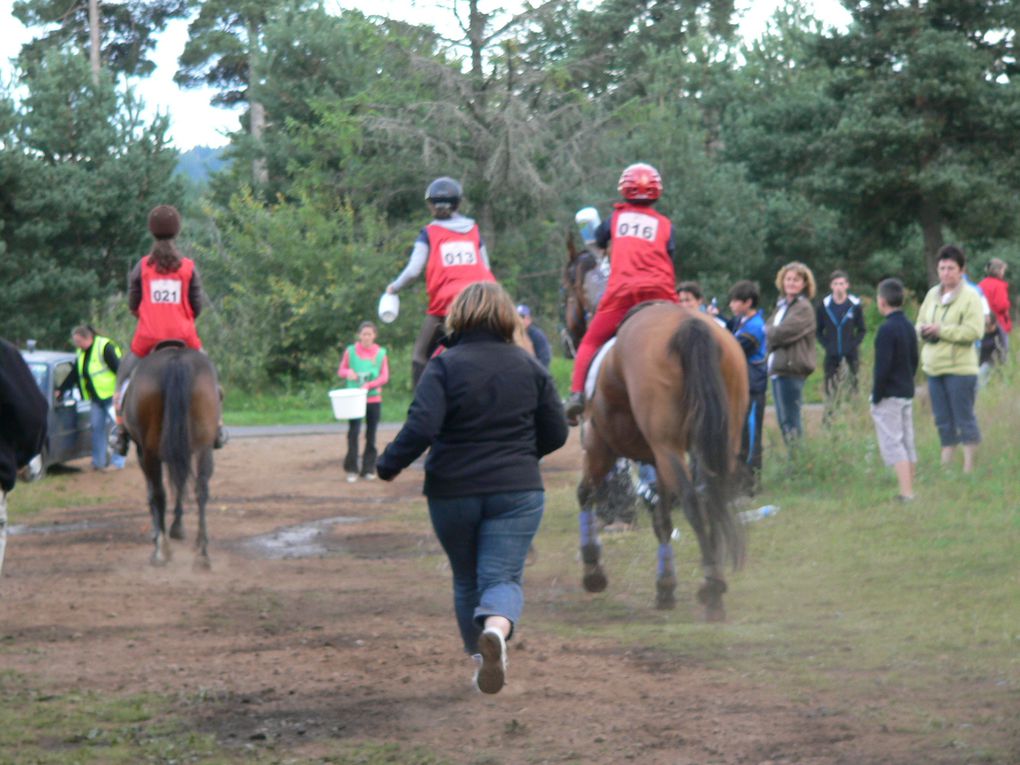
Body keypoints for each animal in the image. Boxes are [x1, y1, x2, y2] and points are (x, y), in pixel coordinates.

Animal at [122, 346, 220, 571]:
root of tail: (176, 359)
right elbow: (181, 484)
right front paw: (177, 526)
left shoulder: (142, 452)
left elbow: (154, 493)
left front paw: (160, 532)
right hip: (203, 446)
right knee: (201, 489)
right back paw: (202, 553)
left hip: (149, 452)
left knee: (159, 493)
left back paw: (161, 550)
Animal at [583, 301, 750, 620]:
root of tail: (688, 325)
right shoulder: (655, 460)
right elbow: (661, 519)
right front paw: (666, 586)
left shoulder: (601, 443)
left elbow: (586, 494)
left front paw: (592, 568)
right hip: (722, 442)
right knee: (713, 497)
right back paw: (714, 581)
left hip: (667, 447)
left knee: (694, 502)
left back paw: (712, 587)